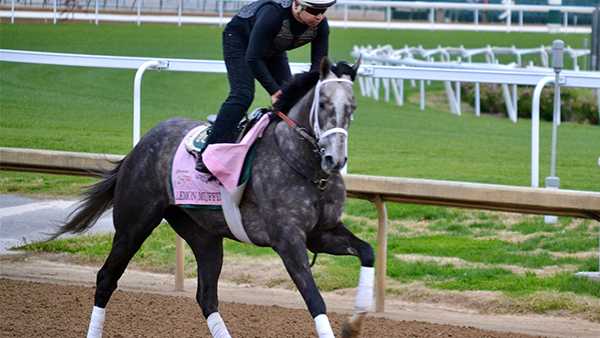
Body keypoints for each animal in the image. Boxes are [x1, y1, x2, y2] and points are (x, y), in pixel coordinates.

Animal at [56, 58, 376, 338]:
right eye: (323, 104)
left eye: (352, 107)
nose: (335, 159)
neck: (304, 168)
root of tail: (140, 145)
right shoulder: (288, 240)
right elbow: (315, 300)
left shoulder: (320, 234)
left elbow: (368, 252)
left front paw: (354, 325)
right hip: (133, 224)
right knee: (106, 278)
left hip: (204, 235)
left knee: (207, 296)